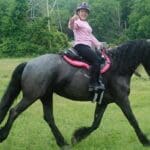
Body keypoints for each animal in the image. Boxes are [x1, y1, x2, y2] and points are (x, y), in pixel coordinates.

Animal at [0, 39, 150, 149]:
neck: (117, 67)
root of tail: (29, 63)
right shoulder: (122, 99)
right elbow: (132, 120)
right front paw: (145, 141)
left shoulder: (104, 101)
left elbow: (96, 123)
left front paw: (78, 137)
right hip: (32, 96)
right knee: (14, 111)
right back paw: (3, 135)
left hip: (45, 95)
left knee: (49, 117)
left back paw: (63, 143)